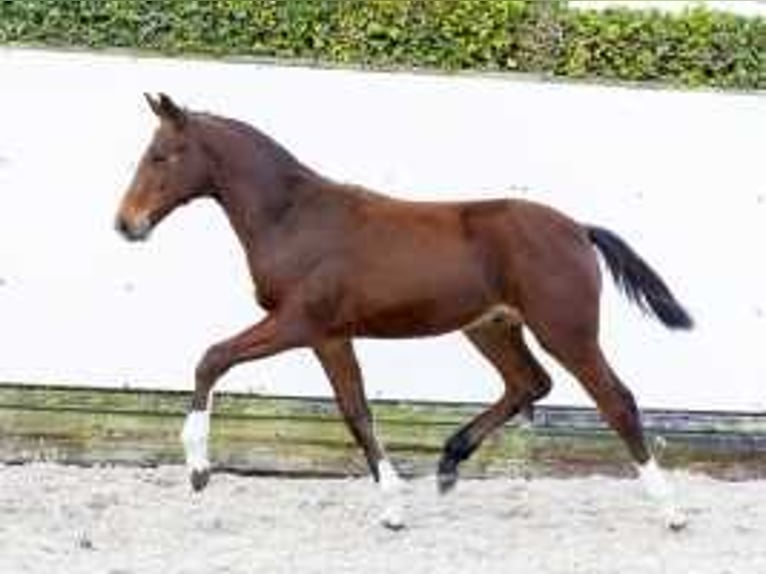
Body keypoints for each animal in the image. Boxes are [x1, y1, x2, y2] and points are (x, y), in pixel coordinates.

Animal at [115, 93, 696, 532]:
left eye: (162, 155)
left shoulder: (300, 323)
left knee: (615, 400)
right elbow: (355, 411)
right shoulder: (331, 335)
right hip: (491, 327)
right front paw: (393, 507)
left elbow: (212, 358)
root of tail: (578, 228)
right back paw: (448, 463)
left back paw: (670, 510)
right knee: (529, 383)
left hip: (565, 330)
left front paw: (197, 468)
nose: (126, 223)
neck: (294, 217)